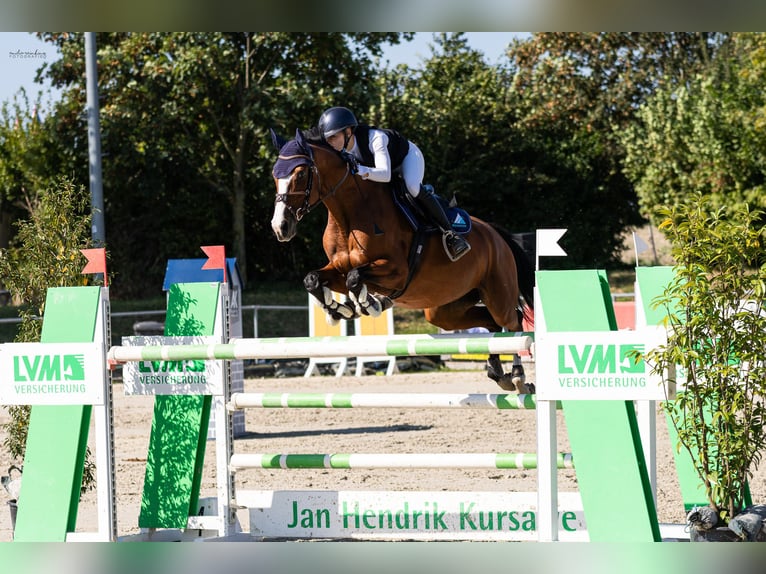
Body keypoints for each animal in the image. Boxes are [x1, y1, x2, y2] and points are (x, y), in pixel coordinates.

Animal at [272, 128, 536, 394]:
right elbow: (313, 279)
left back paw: (517, 376)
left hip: (497, 294)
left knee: (512, 323)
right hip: (445, 309)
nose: (280, 227)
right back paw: (498, 373)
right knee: (490, 325)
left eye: (300, 173)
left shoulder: (397, 272)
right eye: (275, 175)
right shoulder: (338, 269)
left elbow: (355, 278)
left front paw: (368, 305)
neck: (350, 216)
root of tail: (495, 234)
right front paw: (338, 309)